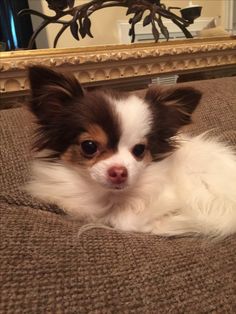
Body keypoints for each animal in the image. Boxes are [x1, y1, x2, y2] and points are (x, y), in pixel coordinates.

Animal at [26, 66, 236, 237]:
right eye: (89, 146)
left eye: (139, 150)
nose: (119, 172)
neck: (110, 197)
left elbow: (126, 220)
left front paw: (159, 223)